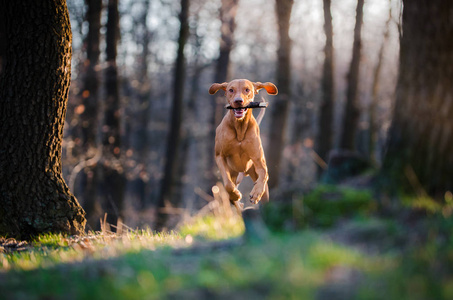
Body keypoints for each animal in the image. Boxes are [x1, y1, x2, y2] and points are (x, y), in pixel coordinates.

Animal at [207, 78, 276, 209]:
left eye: (247, 89)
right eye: (231, 90)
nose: (238, 101)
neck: (240, 128)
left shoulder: (258, 159)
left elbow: (264, 173)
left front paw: (256, 193)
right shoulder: (220, 156)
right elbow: (228, 184)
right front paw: (235, 195)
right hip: (234, 173)